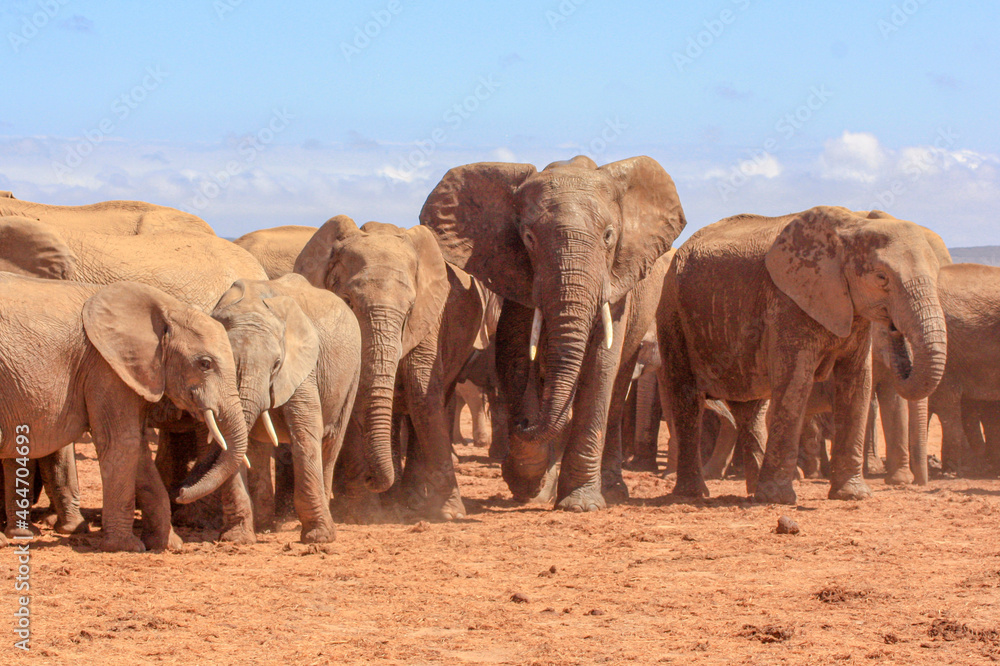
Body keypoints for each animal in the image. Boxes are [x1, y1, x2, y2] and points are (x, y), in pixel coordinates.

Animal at [0, 216, 269, 542]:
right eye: (204, 364)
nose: (181, 492)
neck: (163, 307)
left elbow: (136, 446)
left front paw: (167, 543)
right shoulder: (104, 364)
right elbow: (122, 441)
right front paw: (126, 544)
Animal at [211, 273, 361, 542]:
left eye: (277, 364)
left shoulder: (303, 366)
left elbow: (306, 428)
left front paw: (319, 539)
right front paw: (236, 540)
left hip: (352, 374)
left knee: (332, 441)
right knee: (258, 448)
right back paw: (264, 526)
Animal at [294, 216, 485, 520]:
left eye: (409, 310)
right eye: (348, 302)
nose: (371, 478)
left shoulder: (430, 319)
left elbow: (422, 393)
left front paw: (451, 514)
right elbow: (356, 398)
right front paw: (363, 513)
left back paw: (413, 500)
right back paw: (394, 499)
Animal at [419, 155, 686, 511]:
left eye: (609, 236)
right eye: (528, 237)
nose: (522, 423)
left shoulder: (616, 288)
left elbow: (600, 366)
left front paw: (580, 505)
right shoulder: (516, 275)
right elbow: (515, 356)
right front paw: (527, 482)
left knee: (616, 393)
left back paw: (612, 490)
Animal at [659, 206, 947, 505]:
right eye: (881, 278)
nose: (893, 326)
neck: (853, 225)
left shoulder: (852, 313)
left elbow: (857, 383)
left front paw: (852, 495)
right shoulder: (788, 303)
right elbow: (796, 381)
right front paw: (779, 499)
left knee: (749, 408)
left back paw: (752, 492)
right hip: (672, 312)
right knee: (687, 397)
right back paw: (693, 494)